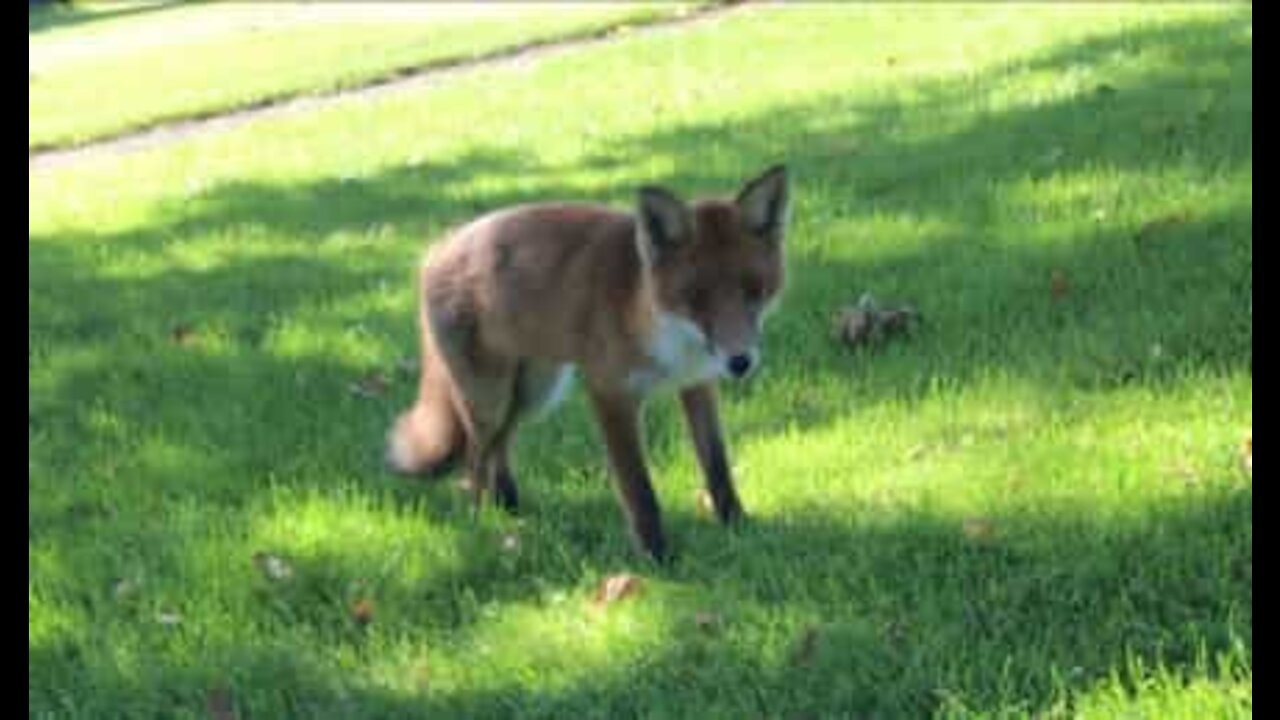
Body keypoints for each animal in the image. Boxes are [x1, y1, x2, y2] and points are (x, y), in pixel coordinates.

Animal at [386, 163, 788, 561]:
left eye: (754, 290)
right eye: (696, 298)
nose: (740, 362)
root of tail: (436, 248)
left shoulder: (697, 384)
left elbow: (717, 467)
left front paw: (738, 526)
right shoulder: (610, 392)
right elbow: (638, 488)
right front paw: (658, 556)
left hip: (534, 392)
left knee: (501, 448)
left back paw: (512, 511)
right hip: (490, 399)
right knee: (475, 458)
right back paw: (480, 524)